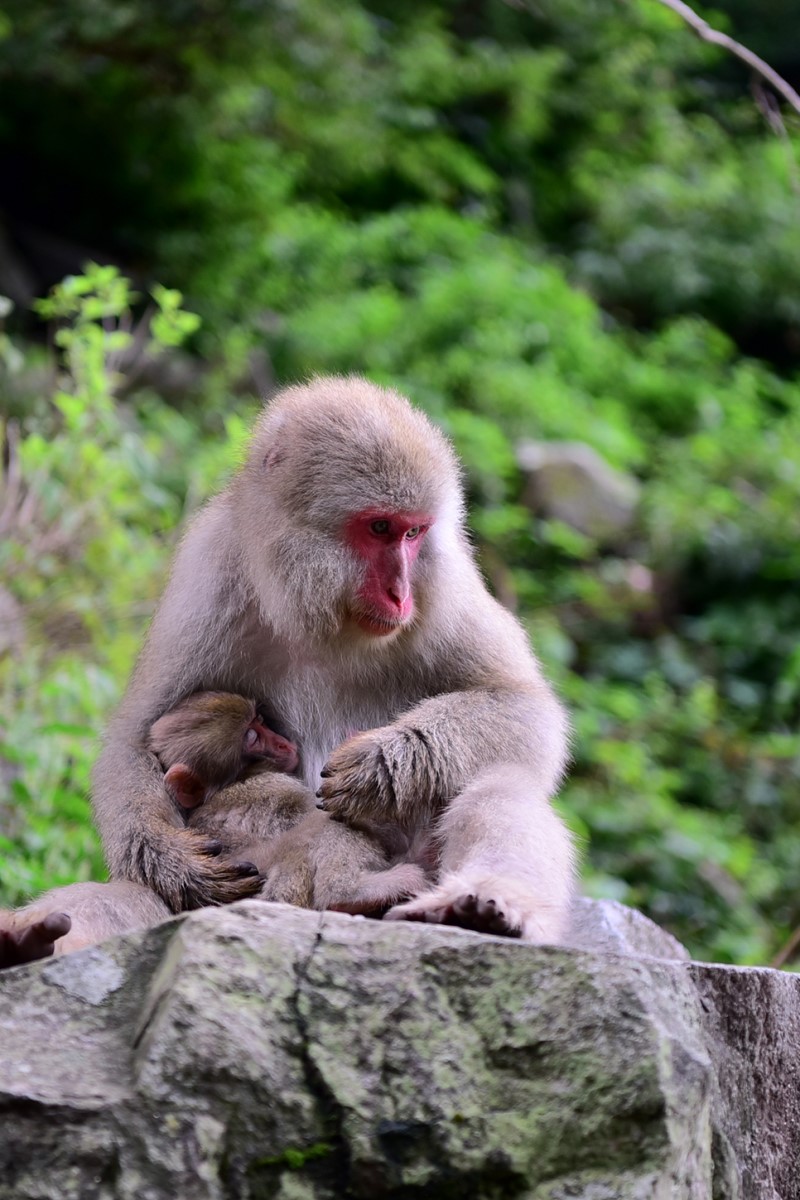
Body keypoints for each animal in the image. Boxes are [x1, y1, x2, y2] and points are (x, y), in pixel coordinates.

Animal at [90, 379, 573, 940]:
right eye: (379, 527)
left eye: (414, 533)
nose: (400, 593)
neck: (318, 613)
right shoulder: (208, 575)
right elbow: (134, 737)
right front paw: (171, 859)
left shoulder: (445, 587)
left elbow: (523, 708)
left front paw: (382, 765)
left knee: (500, 782)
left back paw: (475, 907)